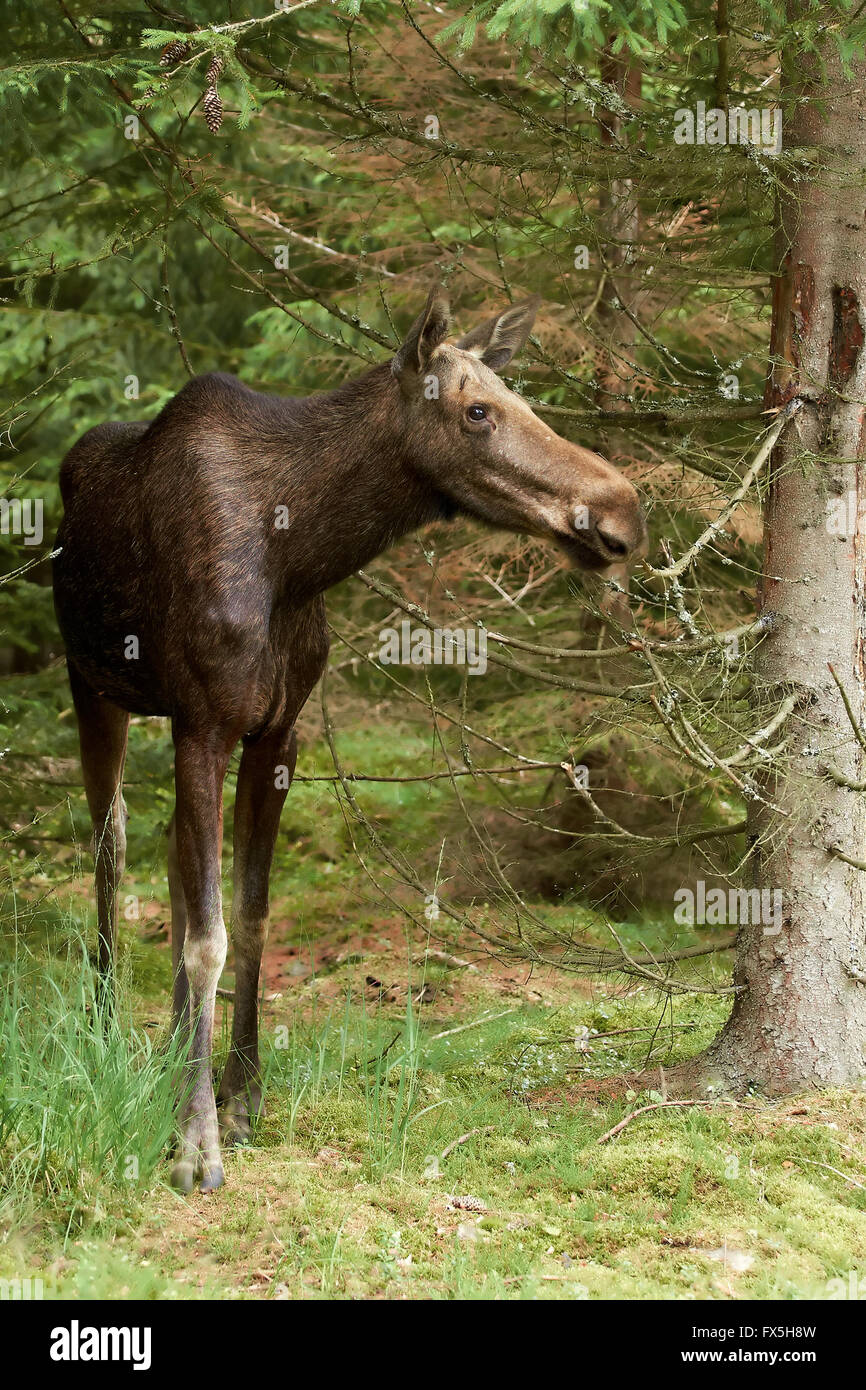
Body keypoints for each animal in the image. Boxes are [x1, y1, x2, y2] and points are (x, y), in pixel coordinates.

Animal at [52, 287, 644, 1189]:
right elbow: (205, 938)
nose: (623, 512)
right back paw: (106, 1028)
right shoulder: (205, 723)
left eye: (515, 396)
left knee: (167, 851)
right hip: (93, 686)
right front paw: (195, 1145)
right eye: (476, 410)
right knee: (110, 846)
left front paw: (241, 1099)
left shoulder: (276, 734)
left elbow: (249, 918)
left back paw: (168, 1053)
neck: (300, 554)